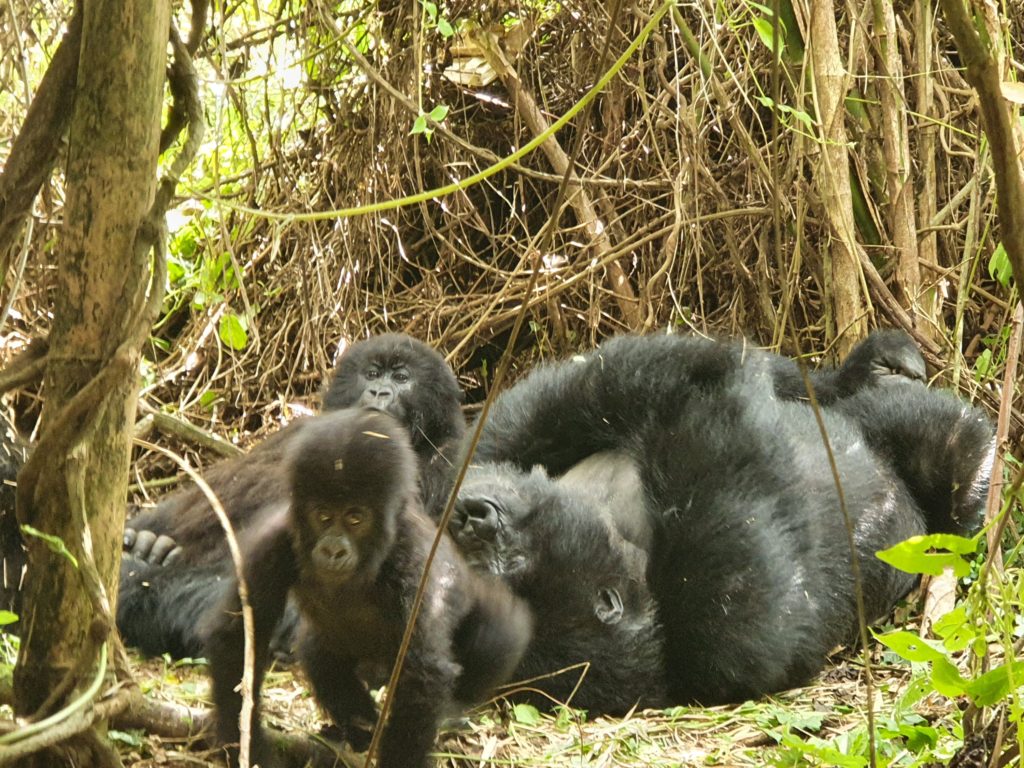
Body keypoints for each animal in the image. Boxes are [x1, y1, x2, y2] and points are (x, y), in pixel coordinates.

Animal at [199, 409, 528, 768]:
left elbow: (423, 675)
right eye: (323, 516)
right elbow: (239, 638)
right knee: (319, 656)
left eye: (355, 518)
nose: (333, 550)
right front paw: (245, 747)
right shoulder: (273, 542)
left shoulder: (414, 563)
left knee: (495, 631)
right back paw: (360, 730)